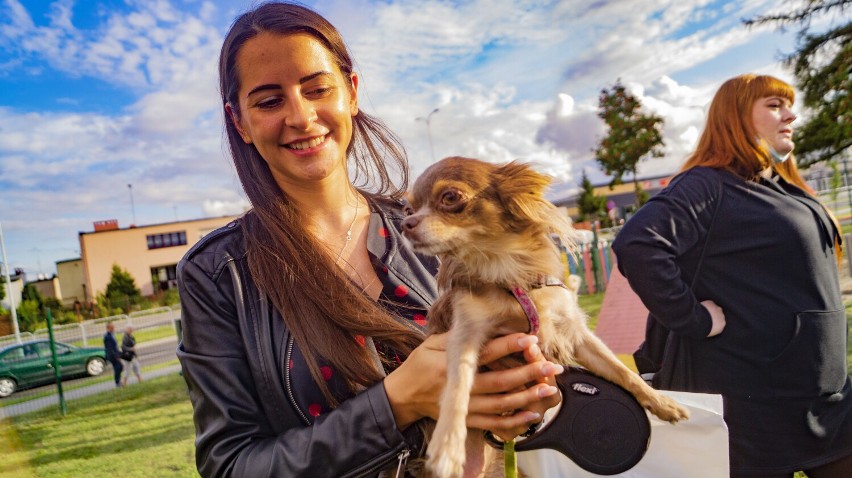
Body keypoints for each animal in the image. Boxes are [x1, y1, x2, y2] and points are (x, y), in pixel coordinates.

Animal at [402, 158, 688, 478]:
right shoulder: (465, 334)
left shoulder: (574, 333)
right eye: (409, 209)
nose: (405, 224)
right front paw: (447, 445)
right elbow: (457, 385)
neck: (505, 269)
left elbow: (620, 370)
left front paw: (662, 403)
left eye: (450, 197)